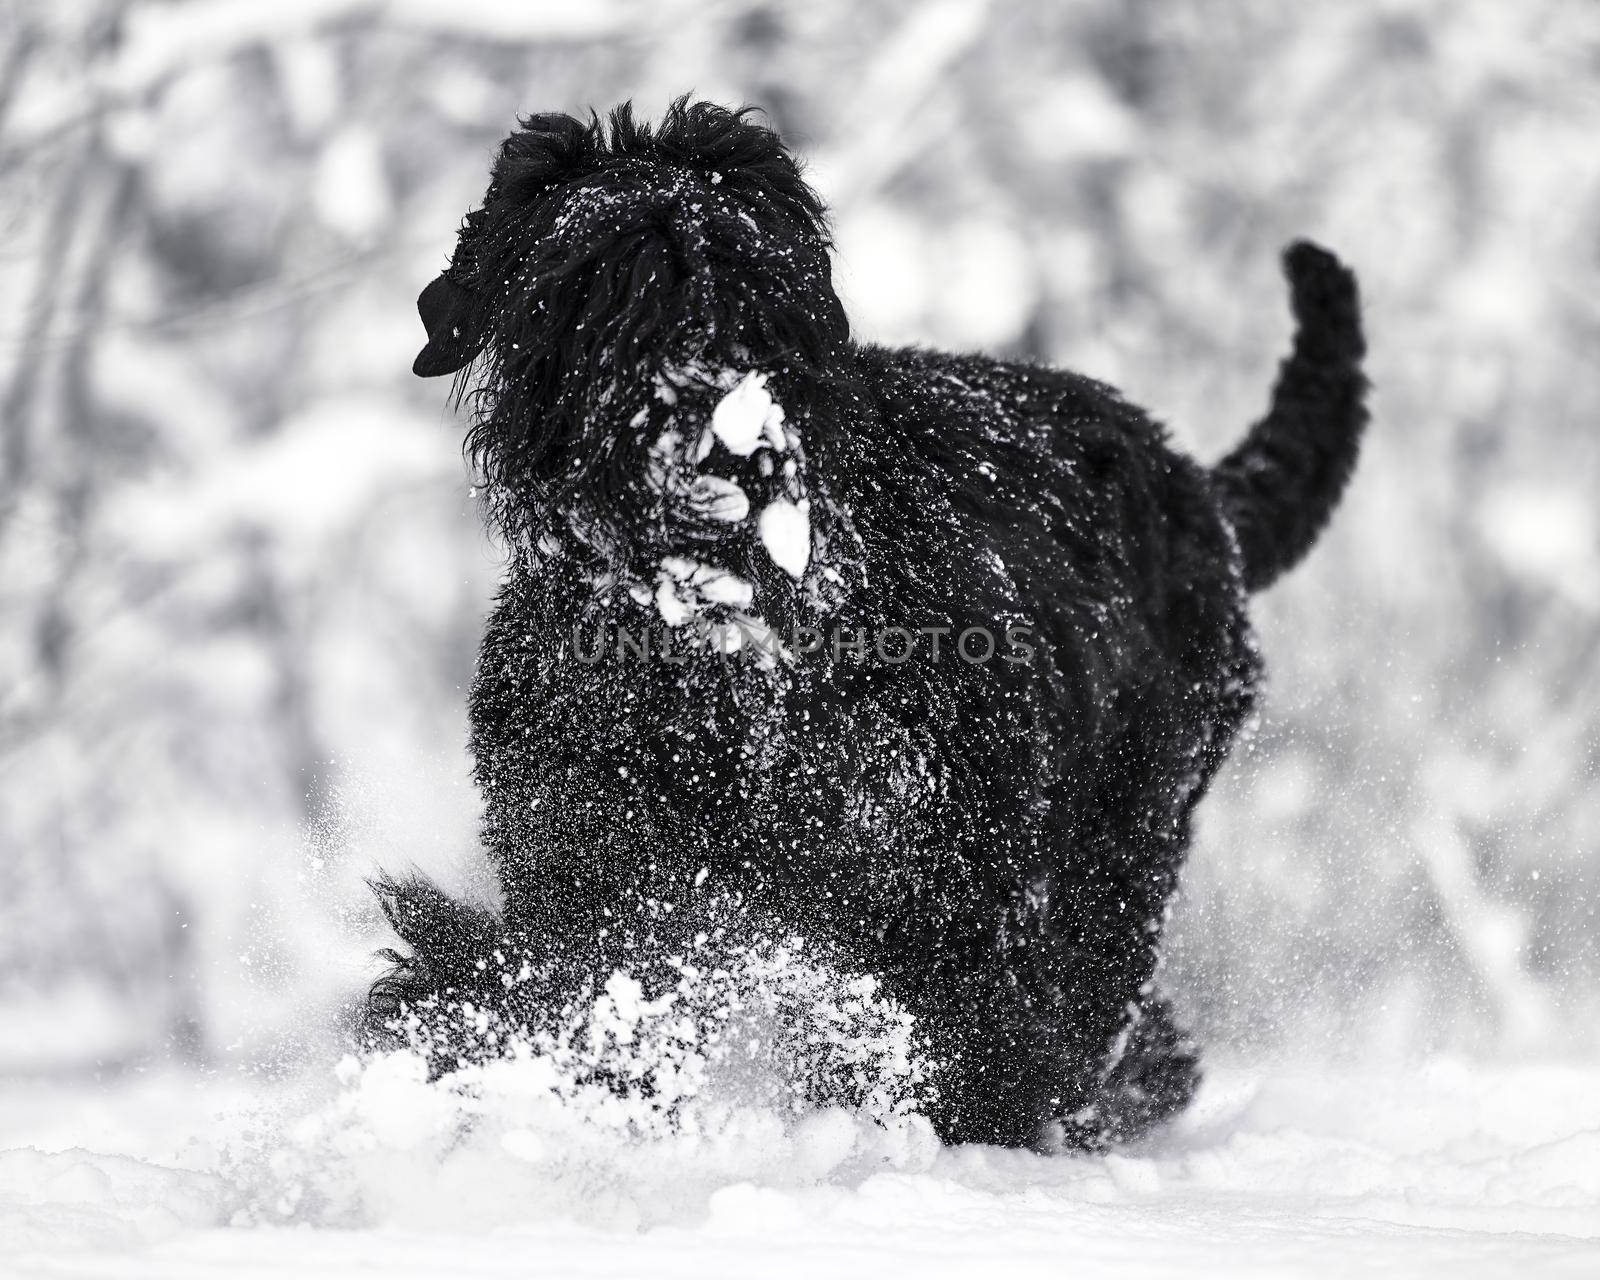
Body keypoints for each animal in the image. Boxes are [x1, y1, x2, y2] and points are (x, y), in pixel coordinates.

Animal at [368, 100, 1369, 1152]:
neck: (720, 662)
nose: (732, 439)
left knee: (1090, 1010)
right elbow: (566, 986)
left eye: (762, 284)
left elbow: (966, 1042)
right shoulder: (589, 855)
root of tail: (1200, 491)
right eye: (596, 284)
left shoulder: (938, 886)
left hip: (1122, 846)